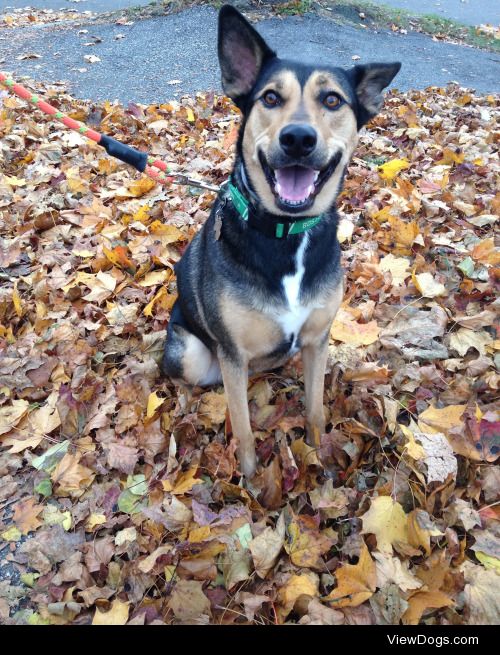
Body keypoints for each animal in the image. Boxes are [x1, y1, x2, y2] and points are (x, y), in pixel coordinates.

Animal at [162, 3, 400, 476]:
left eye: (333, 100)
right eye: (270, 98)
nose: (298, 139)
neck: (286, 234)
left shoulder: (316, 339)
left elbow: (315, 409)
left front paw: (319, 455)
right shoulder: (233, 354)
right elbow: (243, 429)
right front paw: (250, 482)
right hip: (192, 352)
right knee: (186, 382)